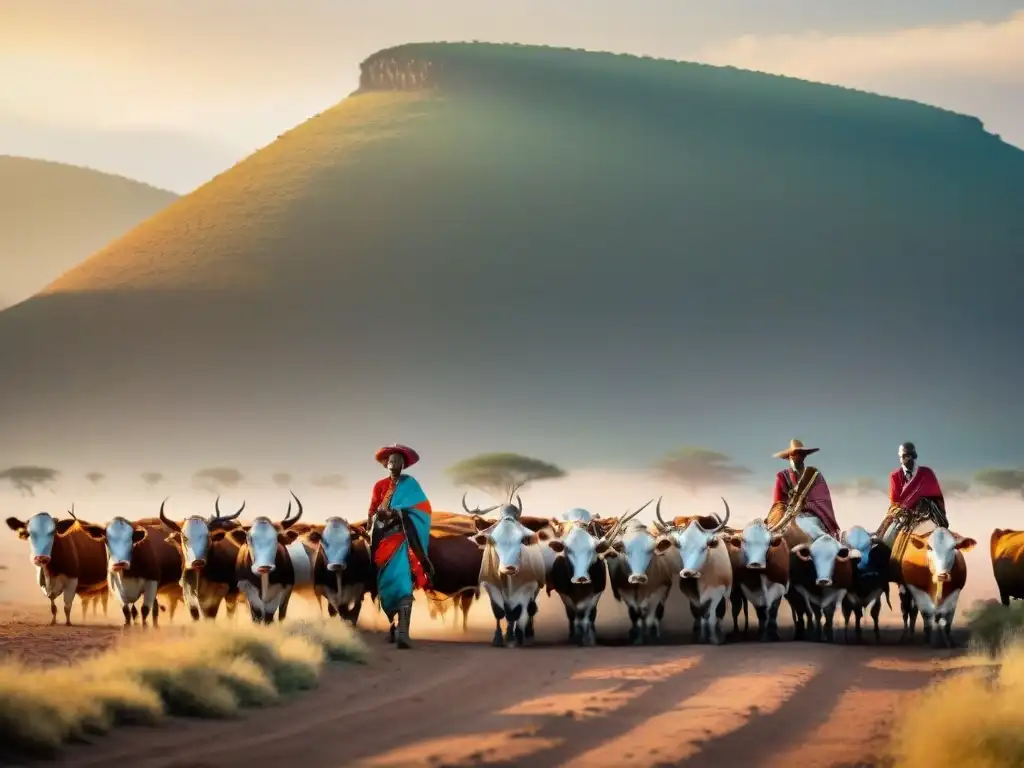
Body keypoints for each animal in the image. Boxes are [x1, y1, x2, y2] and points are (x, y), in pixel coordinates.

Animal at [602, 512, 675, 651]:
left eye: (651, 550)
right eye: (626, 551)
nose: (638, 577)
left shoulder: (659, 590)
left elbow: (650, 618)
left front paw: (650, 639)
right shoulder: (624, 591)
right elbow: (635, 614)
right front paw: (637, 639)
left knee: (657, 613)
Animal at [659, 499, 733, 643]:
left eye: (705, 546)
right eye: (679, 546)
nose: (689, 572)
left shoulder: (717, 593)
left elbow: (711, 616)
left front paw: (714, 638)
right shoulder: (691, 596)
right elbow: (700, 615)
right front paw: (701, 637)